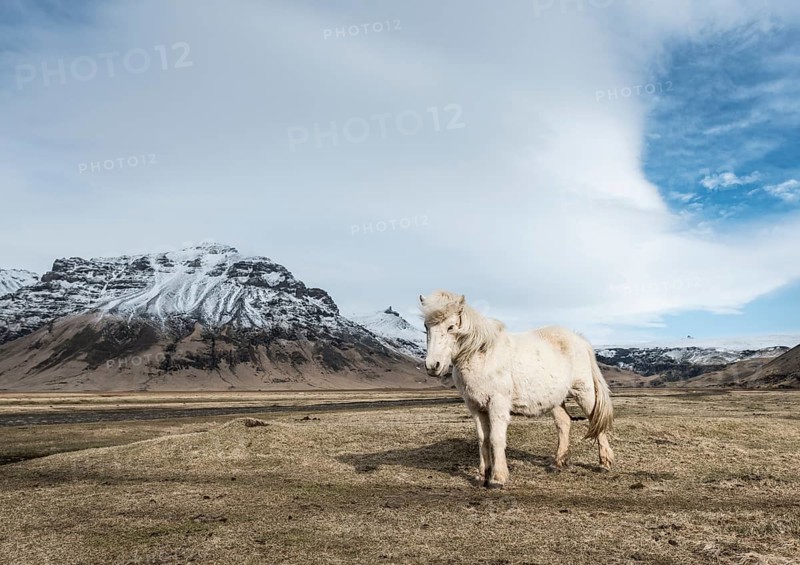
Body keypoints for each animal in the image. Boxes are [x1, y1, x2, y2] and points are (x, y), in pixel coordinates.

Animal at [419, 290, 614, 488]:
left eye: (451, 327)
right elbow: (482, 439)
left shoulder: (497, 404)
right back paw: (558, 463)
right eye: (426, 326)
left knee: (596, 420)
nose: (433, 366)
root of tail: (580, 340)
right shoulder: (475, 406)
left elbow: (496, 438)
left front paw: (497, 478)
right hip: (557, 399)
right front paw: (482, 475)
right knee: (564, 423)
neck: (481, 354)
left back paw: (604, 463)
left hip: (584, 392)